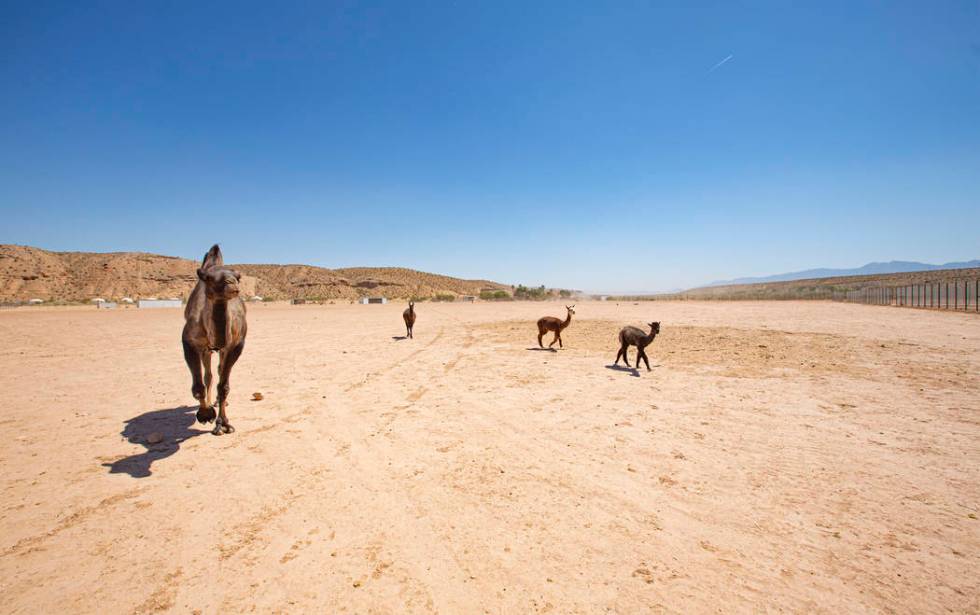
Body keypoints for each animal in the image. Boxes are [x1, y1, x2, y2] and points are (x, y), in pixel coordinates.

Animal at [182, 243, 247, 436]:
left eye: (238, 277)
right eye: (209, 278)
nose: (231, 284)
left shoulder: (235, 346)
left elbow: (224, 386)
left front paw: (223, 424)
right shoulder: (190, 343)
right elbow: (198, 386)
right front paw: (205, 414)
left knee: (217, 373)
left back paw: (218, 402)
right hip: (206, 350)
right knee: (208, 376)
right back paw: (211, 403)